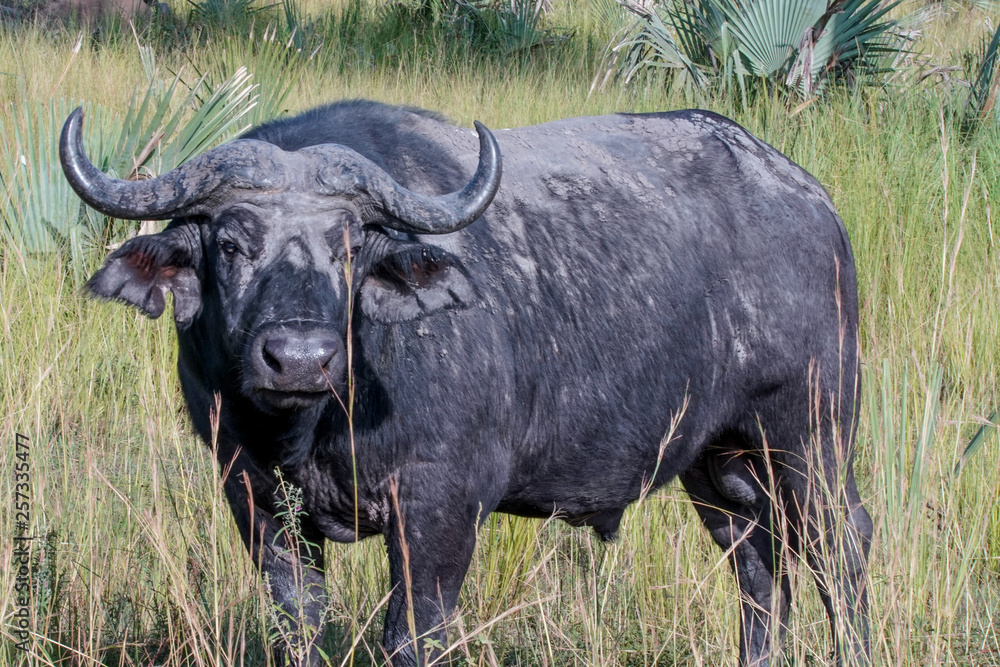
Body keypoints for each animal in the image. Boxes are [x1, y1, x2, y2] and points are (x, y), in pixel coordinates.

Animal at [64, 100, 876, 667]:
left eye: (348, 246)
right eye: (231, 244)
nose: (298, 357)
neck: (317, 425)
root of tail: (810, 198)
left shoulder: (440, 509)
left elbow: (410, 637)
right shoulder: (257, 502)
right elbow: (298, 629)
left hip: (812, 440)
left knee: (841, 553)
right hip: (721, 464)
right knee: (758, 566)